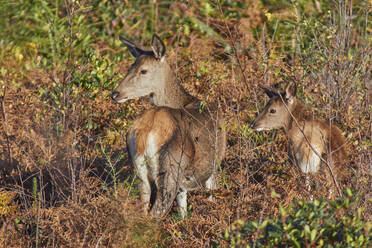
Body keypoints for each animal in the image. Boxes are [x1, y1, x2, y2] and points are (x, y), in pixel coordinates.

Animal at [110, 34, 227, 217]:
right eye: (130, 68)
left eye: (142, 70)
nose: (115, 94)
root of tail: (144, 133)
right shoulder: (215, 164)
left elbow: (183, 211)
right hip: (170, 168)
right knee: (156, 211)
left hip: (139, 173)